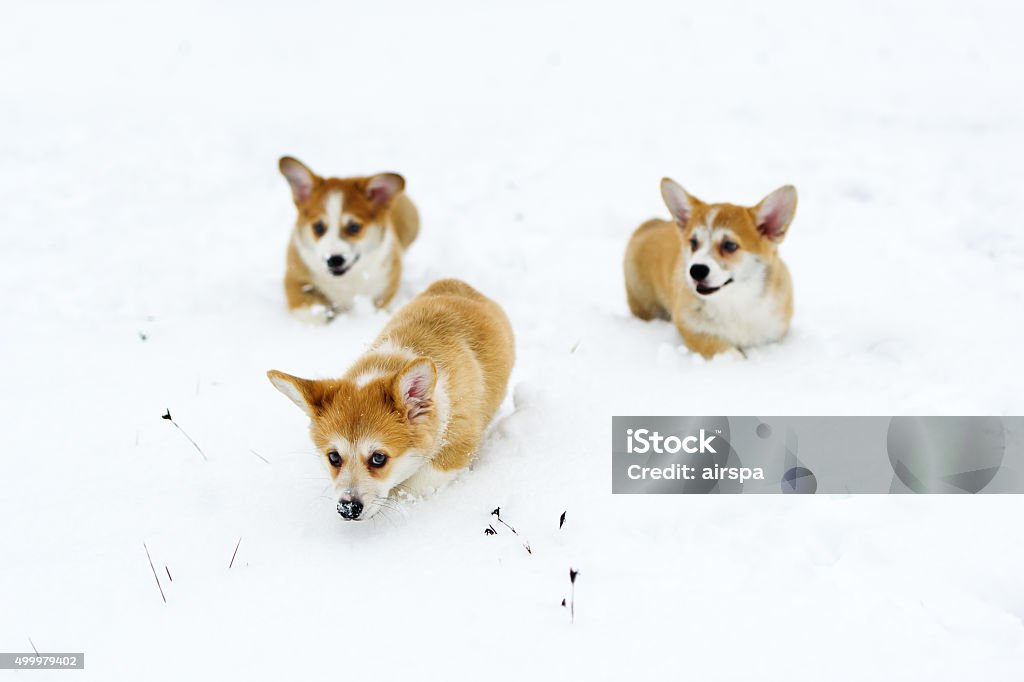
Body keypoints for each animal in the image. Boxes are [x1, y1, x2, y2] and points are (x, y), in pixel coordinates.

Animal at [268, 276, 516, 520]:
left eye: (378, 458)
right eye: (334, 457)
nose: (347, 509)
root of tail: (456, 283)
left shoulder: (457, 447)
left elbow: (413, 485)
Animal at [278, 156, 417, 321]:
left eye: (354, 227)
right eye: (318, 227)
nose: (334, 260)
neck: (344, 281)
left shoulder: (386, 284)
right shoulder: (295, 278)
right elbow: (311, 313)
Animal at [622, 178, 798, 358]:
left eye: (730, 245)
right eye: (693, 242)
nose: (696, 271)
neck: (734, 301)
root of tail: (649, 224)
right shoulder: (691, 327)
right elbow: (726, 351)